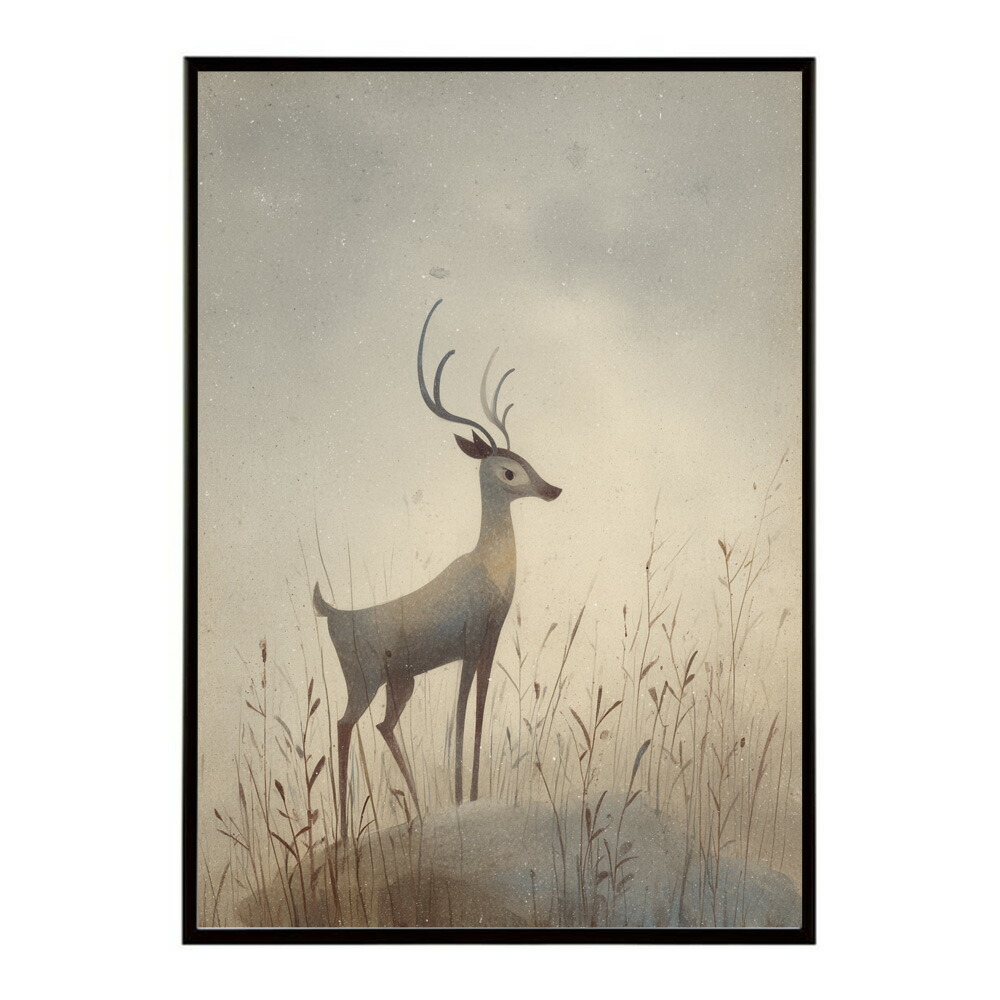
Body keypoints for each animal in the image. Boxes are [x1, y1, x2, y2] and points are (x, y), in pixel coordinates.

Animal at [313, 298, 561, 834]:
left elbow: (481, 714)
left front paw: (471, 795)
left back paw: (417, 809)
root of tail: (333, 613)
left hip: (400, 682)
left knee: (382, 725)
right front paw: (462, 797)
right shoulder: (468, 642)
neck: (489, 569)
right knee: (343, 724)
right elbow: (462, 714)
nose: (552, 489)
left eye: (527, 461)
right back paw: (343, 831)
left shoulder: (490, 640)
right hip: (364, 679)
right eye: (508, 471)